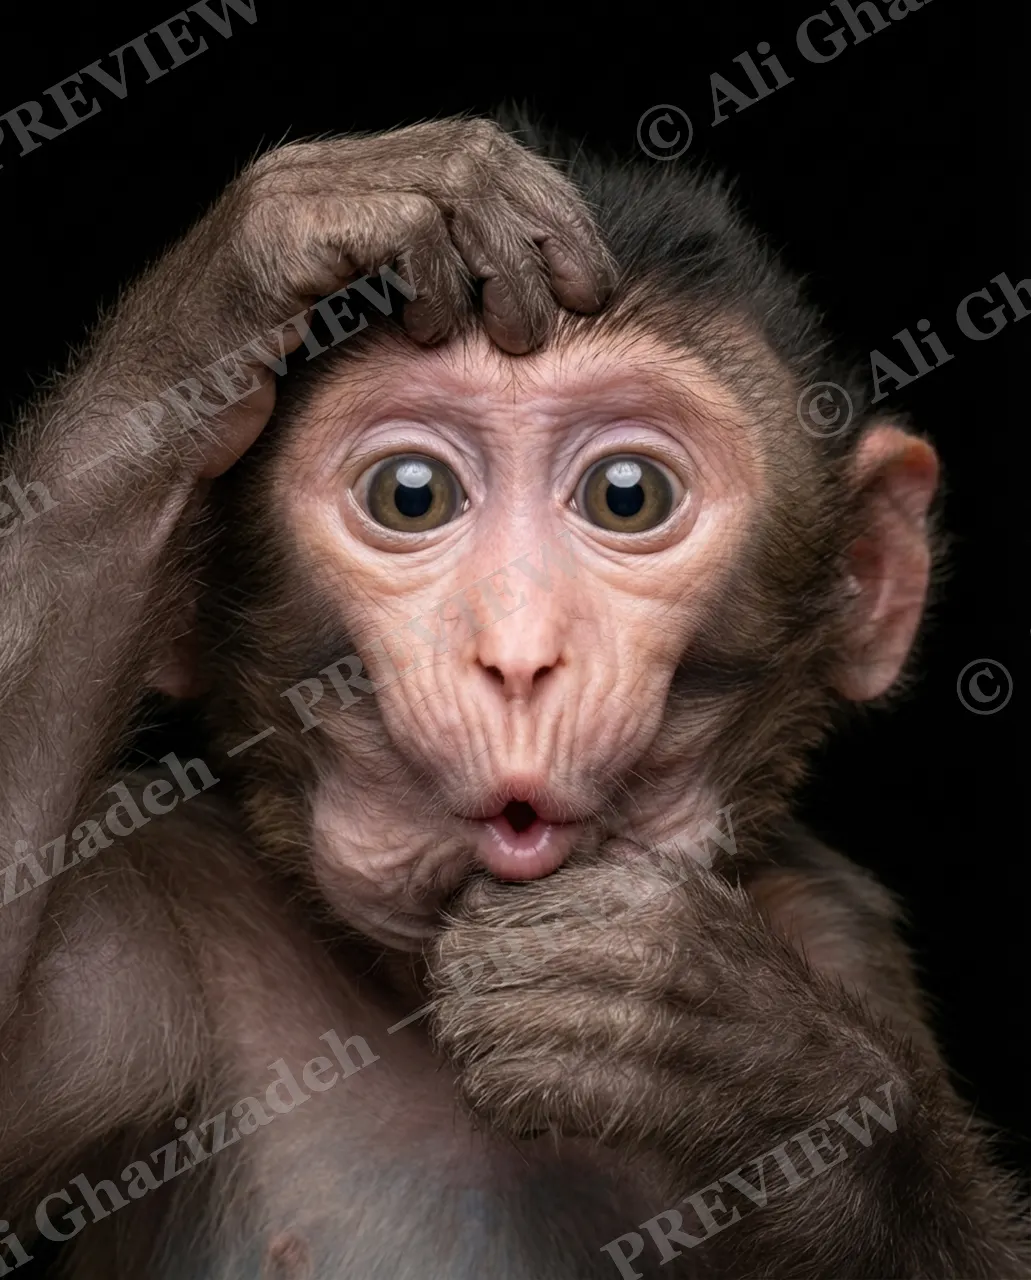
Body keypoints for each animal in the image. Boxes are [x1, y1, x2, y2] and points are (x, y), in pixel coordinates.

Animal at [0, 113, 1026, 1280]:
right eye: (412, 495)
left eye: (627, 495)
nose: (520, 654)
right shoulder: (141, 944)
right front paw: (257, 270)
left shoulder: (840, 930)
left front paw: (732, 1051)